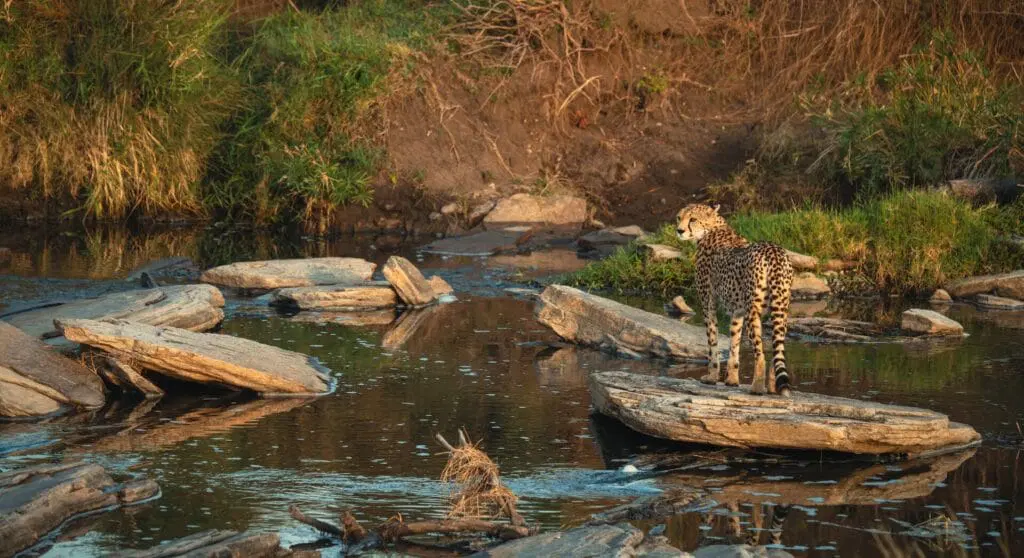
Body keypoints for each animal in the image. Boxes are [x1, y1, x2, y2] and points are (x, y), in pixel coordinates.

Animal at [675, 203, 794, 396]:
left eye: (693, 219)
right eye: (679, 217)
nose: (679, 230)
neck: (711, 229)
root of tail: (773, 249)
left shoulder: (708, 304)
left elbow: (712, 342)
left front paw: (711, 377)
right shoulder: (737, 311)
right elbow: (734, 343)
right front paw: (732, 380)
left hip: (753, 312)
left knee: (760, 354)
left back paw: (756, 388)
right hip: (781, 308)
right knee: (778, 348)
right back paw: (773, 388)